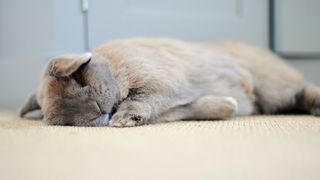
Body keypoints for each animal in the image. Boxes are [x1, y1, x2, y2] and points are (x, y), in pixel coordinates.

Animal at [19, 38, 318, 127]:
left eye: (78, 77)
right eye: (65, 122)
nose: (97, 112)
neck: (113, 67)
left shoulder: (160, 84)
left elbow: (142, 99)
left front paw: (123, 120)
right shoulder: (176, 108)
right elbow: (200, 107)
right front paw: (228, 107)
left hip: (274, 88)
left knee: (303, 91)